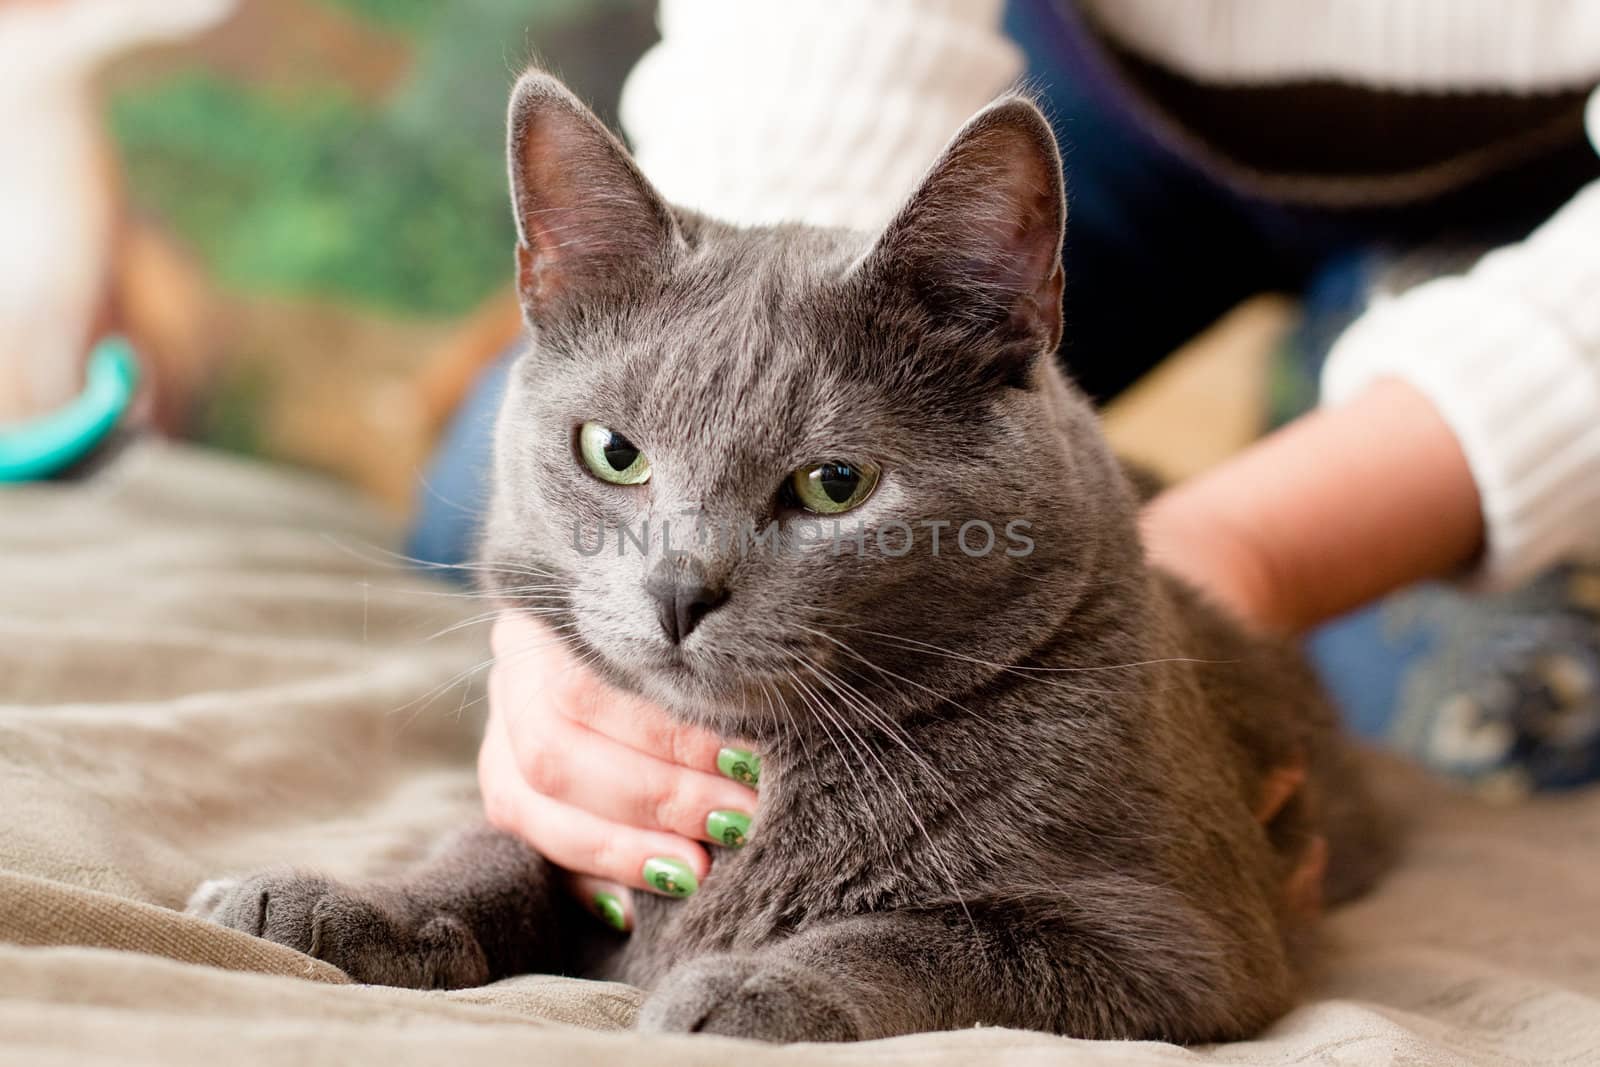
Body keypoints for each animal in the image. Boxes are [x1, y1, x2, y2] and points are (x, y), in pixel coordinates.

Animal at [184, 73, 1388, 1043]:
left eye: (834, 484)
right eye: (613, 452)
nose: (678, 587)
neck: (762, 768)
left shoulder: (1181, 941)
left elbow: (939, 935)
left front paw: (748, 986)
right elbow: (498, 848)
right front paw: (330, 902)